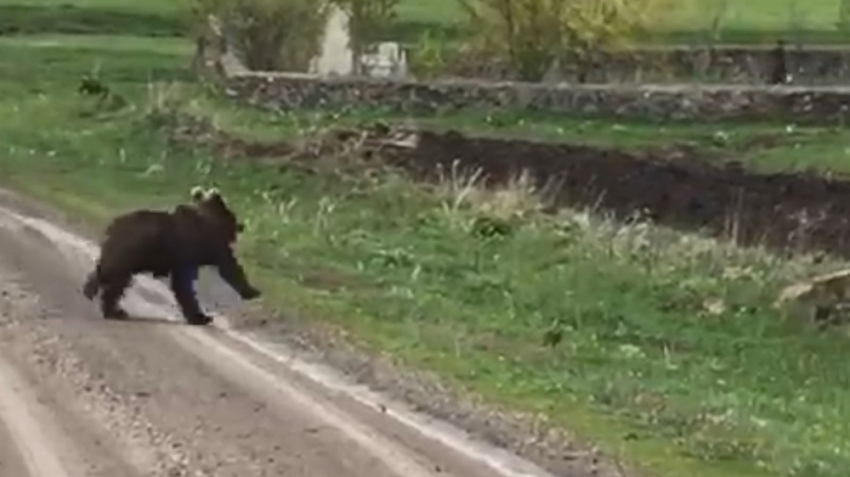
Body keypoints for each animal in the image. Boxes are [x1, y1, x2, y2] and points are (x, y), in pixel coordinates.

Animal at [85, 186, 262, 324]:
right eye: (233, 217)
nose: (241, 226)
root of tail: (111, 227)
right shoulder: (191, 253)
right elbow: (190, 283)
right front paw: (201, 317)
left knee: (107, 274)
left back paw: (93, 292)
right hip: (127, 254)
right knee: (116, 282)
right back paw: (114, 311)